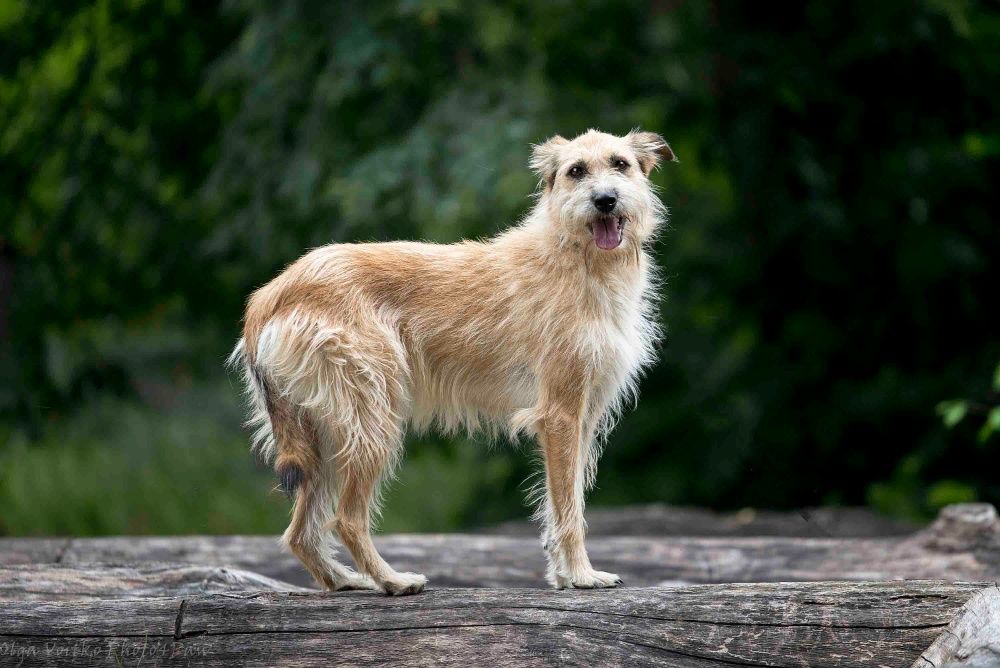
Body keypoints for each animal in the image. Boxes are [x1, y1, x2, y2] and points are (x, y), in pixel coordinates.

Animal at [230, 130, 676, 596]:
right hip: (372, 421)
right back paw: (392, 581)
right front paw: (581, 576)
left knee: (300, 533)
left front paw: (563, 575)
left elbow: (563, 506)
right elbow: (568, 510)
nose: (605, 200)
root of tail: (270, 294)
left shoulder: (583, 418)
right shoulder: (560, 416)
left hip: (327, 434)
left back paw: (347, 581)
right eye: (576, 171)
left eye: (621, 164)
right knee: (347, 519)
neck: (576, 255)